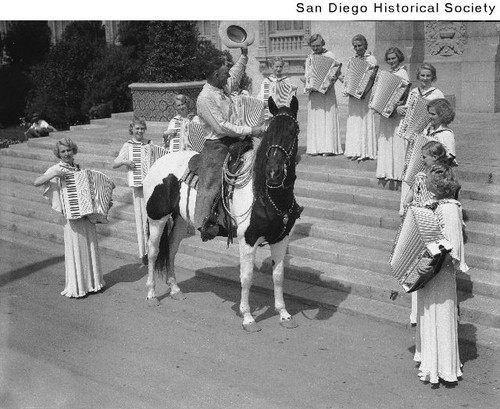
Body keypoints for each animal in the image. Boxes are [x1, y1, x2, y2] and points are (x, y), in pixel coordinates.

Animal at [143, 96, 302, 332]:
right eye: (270, 131)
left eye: (295, 130)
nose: (274, 173)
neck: (264, 193)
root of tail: (158, 162)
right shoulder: (248, 240)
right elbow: (247, 277)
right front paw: (248, 317)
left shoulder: (281, 239)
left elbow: (278, 276)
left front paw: (284, 314)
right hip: (157, 218)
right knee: (153, 252)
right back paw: (152, 294)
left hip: (180, 221)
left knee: (171, 249)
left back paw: (175, 290)